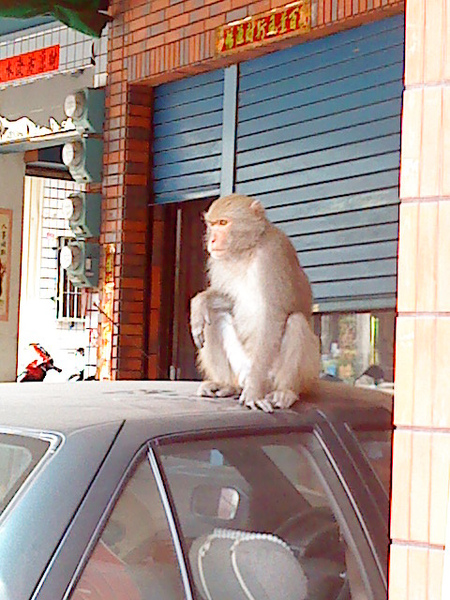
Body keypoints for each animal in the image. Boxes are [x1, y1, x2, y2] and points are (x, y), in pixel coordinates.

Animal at [189, 195, 320, 414]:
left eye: (223, 223)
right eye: (212, 224)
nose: (212, 240)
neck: (245, 250)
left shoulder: (272, 254)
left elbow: (272, 316)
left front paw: (253, 393)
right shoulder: (218, 262)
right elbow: (228, 301)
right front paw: (200, 303)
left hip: (288, 374)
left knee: (296, 323)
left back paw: (284, 391)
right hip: (240, 365)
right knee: (213, 318)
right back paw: (227, 385)